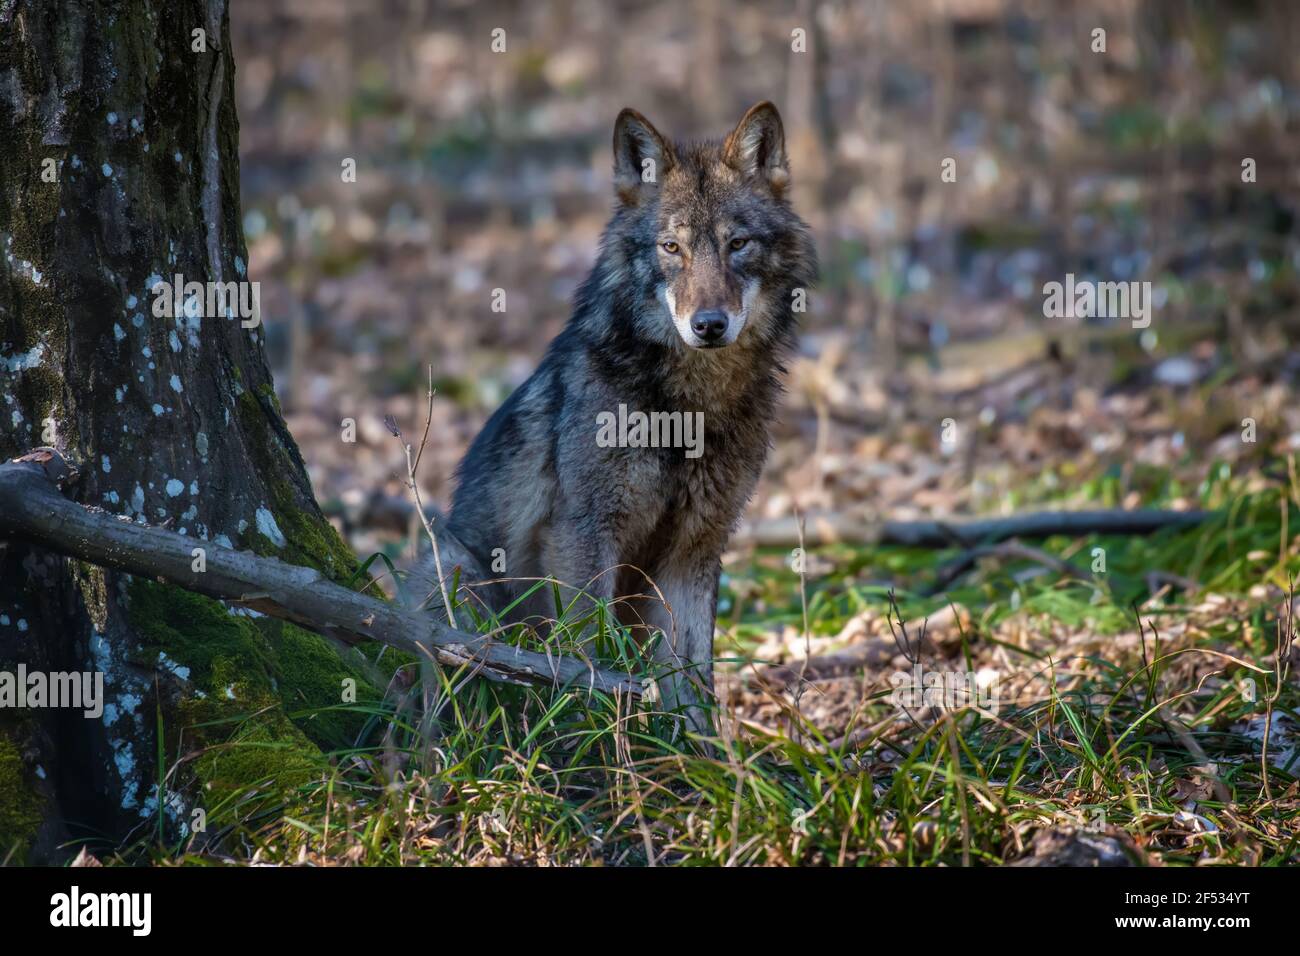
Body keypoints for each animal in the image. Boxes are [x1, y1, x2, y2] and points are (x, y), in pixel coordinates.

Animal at [420, 102, 816, 733]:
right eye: (671, 247)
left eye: (737, 243)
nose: (709, 325)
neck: (687, 410)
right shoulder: (584, 534)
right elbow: (588, 652)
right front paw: (596, 736)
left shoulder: (696, 549)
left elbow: (691, 680)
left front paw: (698, 754)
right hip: (455, 570)